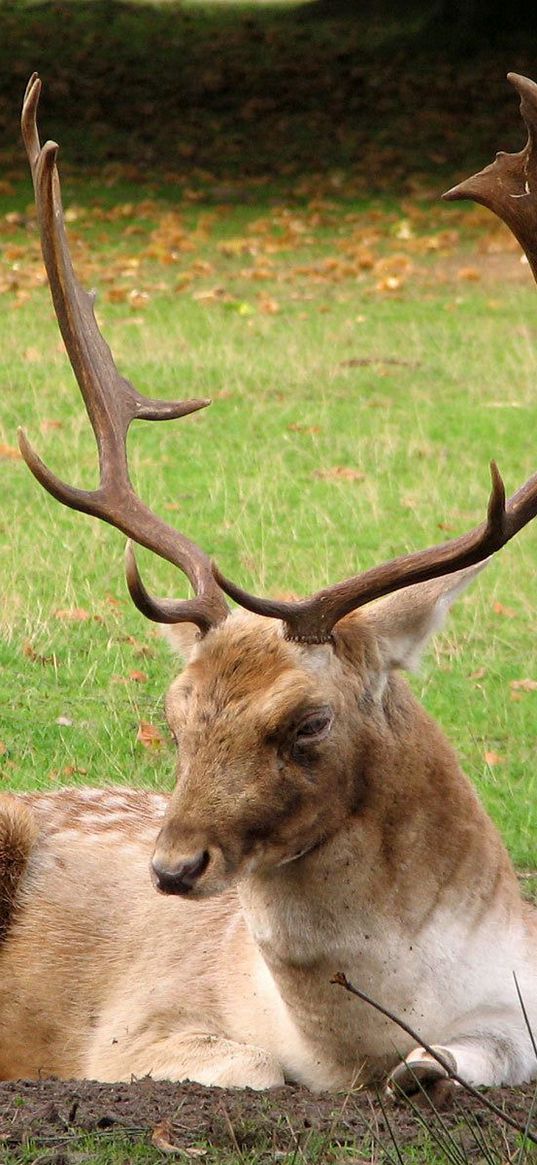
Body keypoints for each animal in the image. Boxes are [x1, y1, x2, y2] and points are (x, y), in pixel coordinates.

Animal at [1, 70, 535, 1090]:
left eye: (308, 721)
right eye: (175, 713)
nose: (171, 868)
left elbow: (461, 1061)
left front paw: (425, 1067)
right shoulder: (136, 1024)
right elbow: (250, 1069)